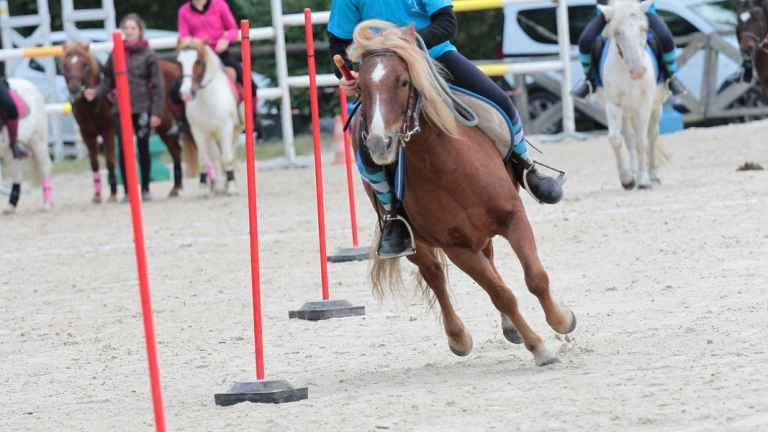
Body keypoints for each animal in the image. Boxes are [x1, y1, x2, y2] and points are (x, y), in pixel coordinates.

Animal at [0, 78, 52, 214]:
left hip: (38, 140)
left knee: (46, 167)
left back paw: (47, 204)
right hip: (9, 152)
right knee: (17, 174)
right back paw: (11, 206)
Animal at [62, 42, 198, 201]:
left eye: (85, 65)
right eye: (65, 65)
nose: (74, 89)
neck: (94, 102)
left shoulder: (108, 132)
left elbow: (110, 161)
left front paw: (113, 194)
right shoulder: (86, 134)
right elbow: (94, 162)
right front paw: (97, 196)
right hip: (163, 126)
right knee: (175, 150)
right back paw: (176, 187)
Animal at [176, 37, 243, 196]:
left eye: (198, 61)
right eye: (179, 62)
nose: (186, 93)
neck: (207, 99)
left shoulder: (226, 129)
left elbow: (228, 158)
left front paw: (232, 187)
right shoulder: (198, 132)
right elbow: (203, 160)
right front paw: (203, 189)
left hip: (234, 132)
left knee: (229, 154)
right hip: (211, 136)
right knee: (216, 157)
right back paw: (219, 186)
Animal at [348, 21, 576, 368]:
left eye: (403, 82)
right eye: (359, 87)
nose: (379, 143)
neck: (447, 166)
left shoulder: (513, 217)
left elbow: (536, 277)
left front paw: (561, 320)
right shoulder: (456, 247)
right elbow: (501, 294)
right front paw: (538, 347)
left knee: (490, 257)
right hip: (416, 241)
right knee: (435, 275)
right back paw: (458, 336)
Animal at [592, 0, 668, 189]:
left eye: (644, 29)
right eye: (618, 32)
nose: (638, 71)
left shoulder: (644, 106)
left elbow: (642, 142)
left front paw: (644, 180)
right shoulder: (613, 105)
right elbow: (615, 140)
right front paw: (627, 179)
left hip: (656, 107)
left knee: (652, 136)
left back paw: (653, 174)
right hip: (626, 112)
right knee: (629, 139)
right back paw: (633, 173)